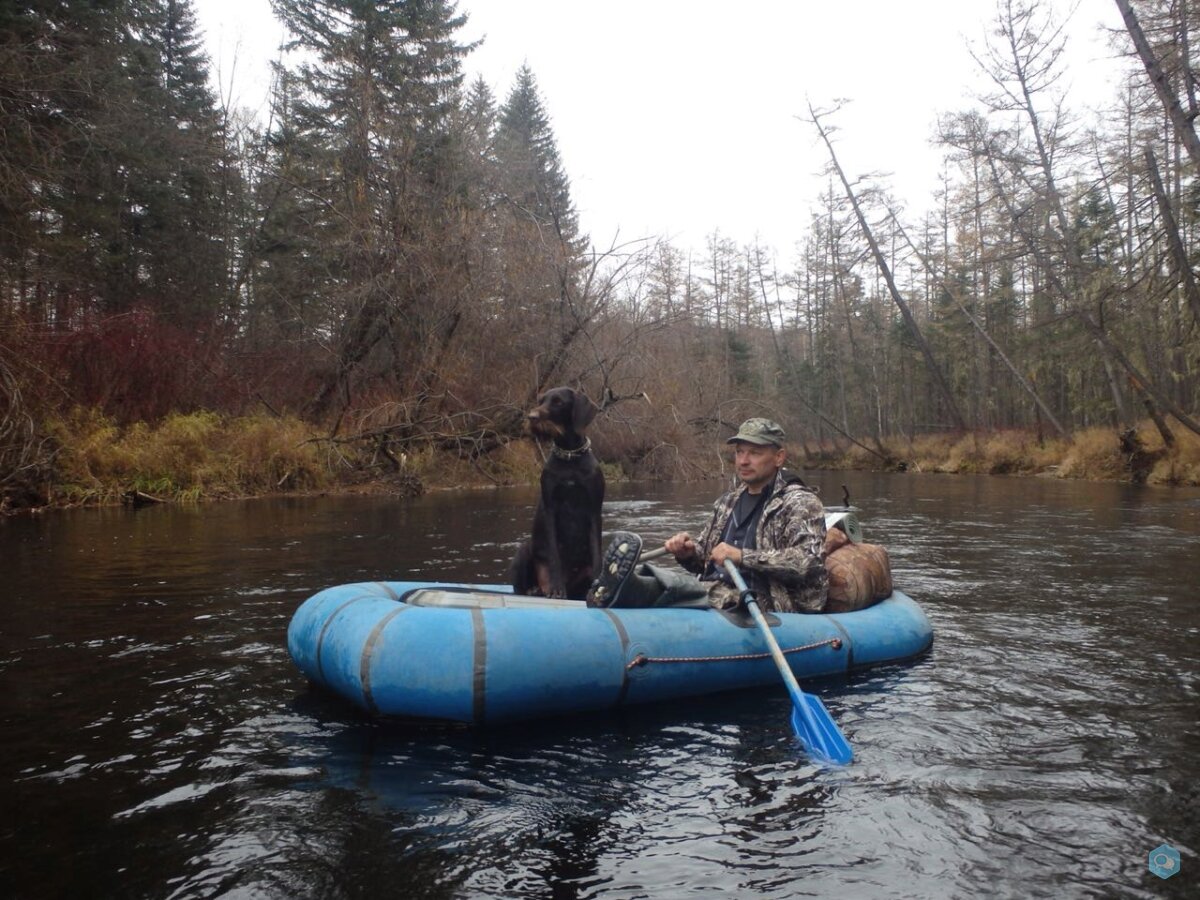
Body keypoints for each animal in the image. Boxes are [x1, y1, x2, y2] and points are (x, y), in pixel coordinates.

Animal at [508, 386, 604, 600]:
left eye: (558, 402)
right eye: (540, 400)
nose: (531, 417)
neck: (569, 456)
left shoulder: (594, 511)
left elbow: (597, 554)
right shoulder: (550, 510)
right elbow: (554, 556)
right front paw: (557, 588)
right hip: (524, 549)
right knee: (520, 588)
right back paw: (536, 590)